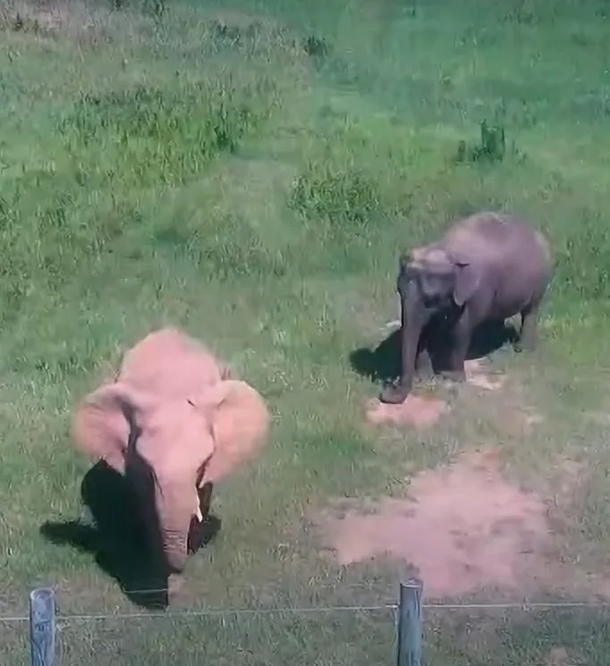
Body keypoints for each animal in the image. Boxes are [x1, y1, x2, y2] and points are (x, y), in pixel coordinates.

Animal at [380, 211, 552, 404]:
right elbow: (426, 329)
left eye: (431, 298)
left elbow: (460, 331)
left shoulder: (475, 295)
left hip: (541, 281)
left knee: (530, 311)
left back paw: (522, 349)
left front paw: (452, 377)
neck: (447, 252)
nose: (387, 391)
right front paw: (424, 377)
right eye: (399, 290)